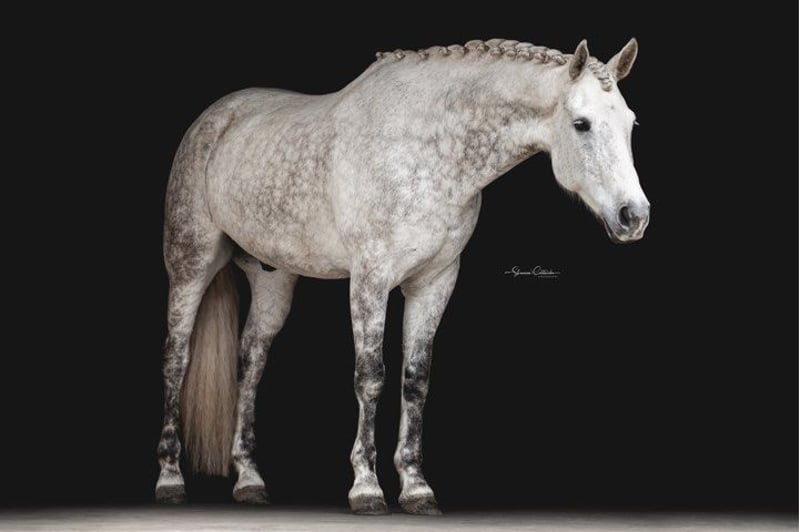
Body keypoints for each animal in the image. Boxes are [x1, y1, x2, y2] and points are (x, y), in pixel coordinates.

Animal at [155, 37, 649, 515]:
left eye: (630, 123)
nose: (634, 216)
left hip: (273, 279)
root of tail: (216, 117)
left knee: (251, 362)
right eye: (582, 124)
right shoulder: (370, 279)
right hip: (191, 264)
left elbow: (415, 380)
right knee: (177, 359)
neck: (428, 149)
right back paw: (170, 479)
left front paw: (415, 487)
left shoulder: (434, 281)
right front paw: (366, 487)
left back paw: (250, 480)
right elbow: (371, 375)